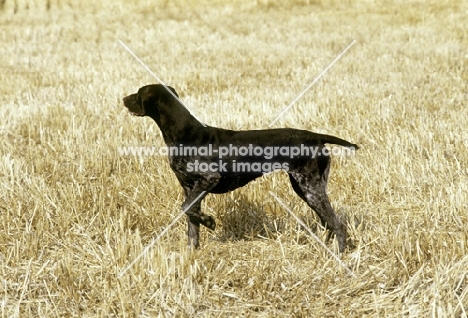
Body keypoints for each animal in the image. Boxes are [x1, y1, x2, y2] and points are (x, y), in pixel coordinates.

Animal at [123, 84, 358, 253]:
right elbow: (191, 221)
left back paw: (338, 255)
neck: (184, 134)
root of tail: (316, 136)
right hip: (306, 188)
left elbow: (186, 209)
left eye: (138, 93)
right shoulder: (189, 187)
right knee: (328, 222)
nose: (123, 99)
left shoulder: (208, 179)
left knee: (338, 225)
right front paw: (191, 253)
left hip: (311, 188)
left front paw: (209, 222)